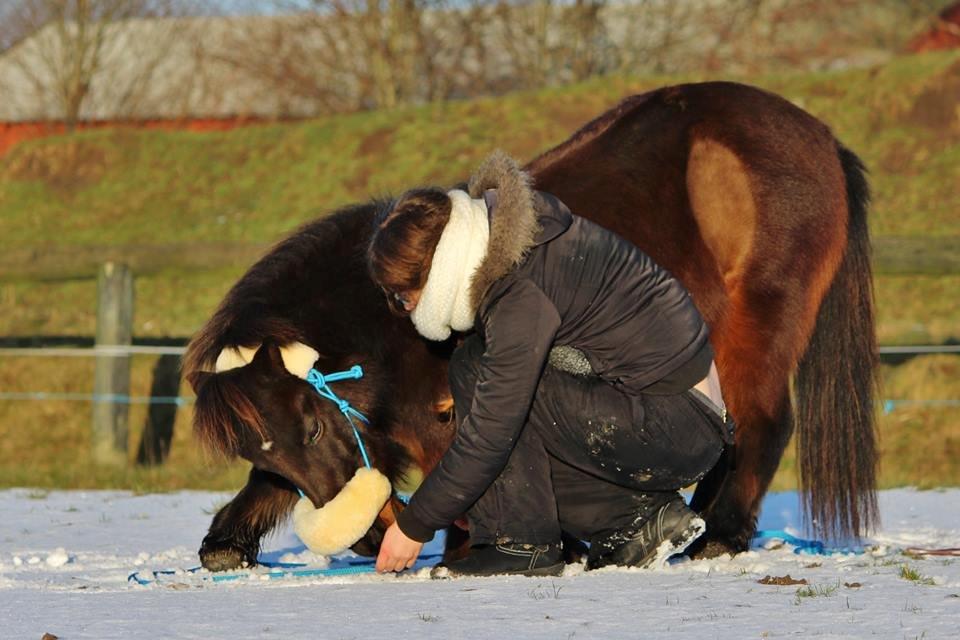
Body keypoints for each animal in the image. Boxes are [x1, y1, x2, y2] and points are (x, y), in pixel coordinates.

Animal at [186, 81, 876, 568]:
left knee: (764, 423)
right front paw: (225, 542)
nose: (363, 541)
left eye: (310, 427)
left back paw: (722, 534)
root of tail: (820, 137)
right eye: (263, 445)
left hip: (758, 326)